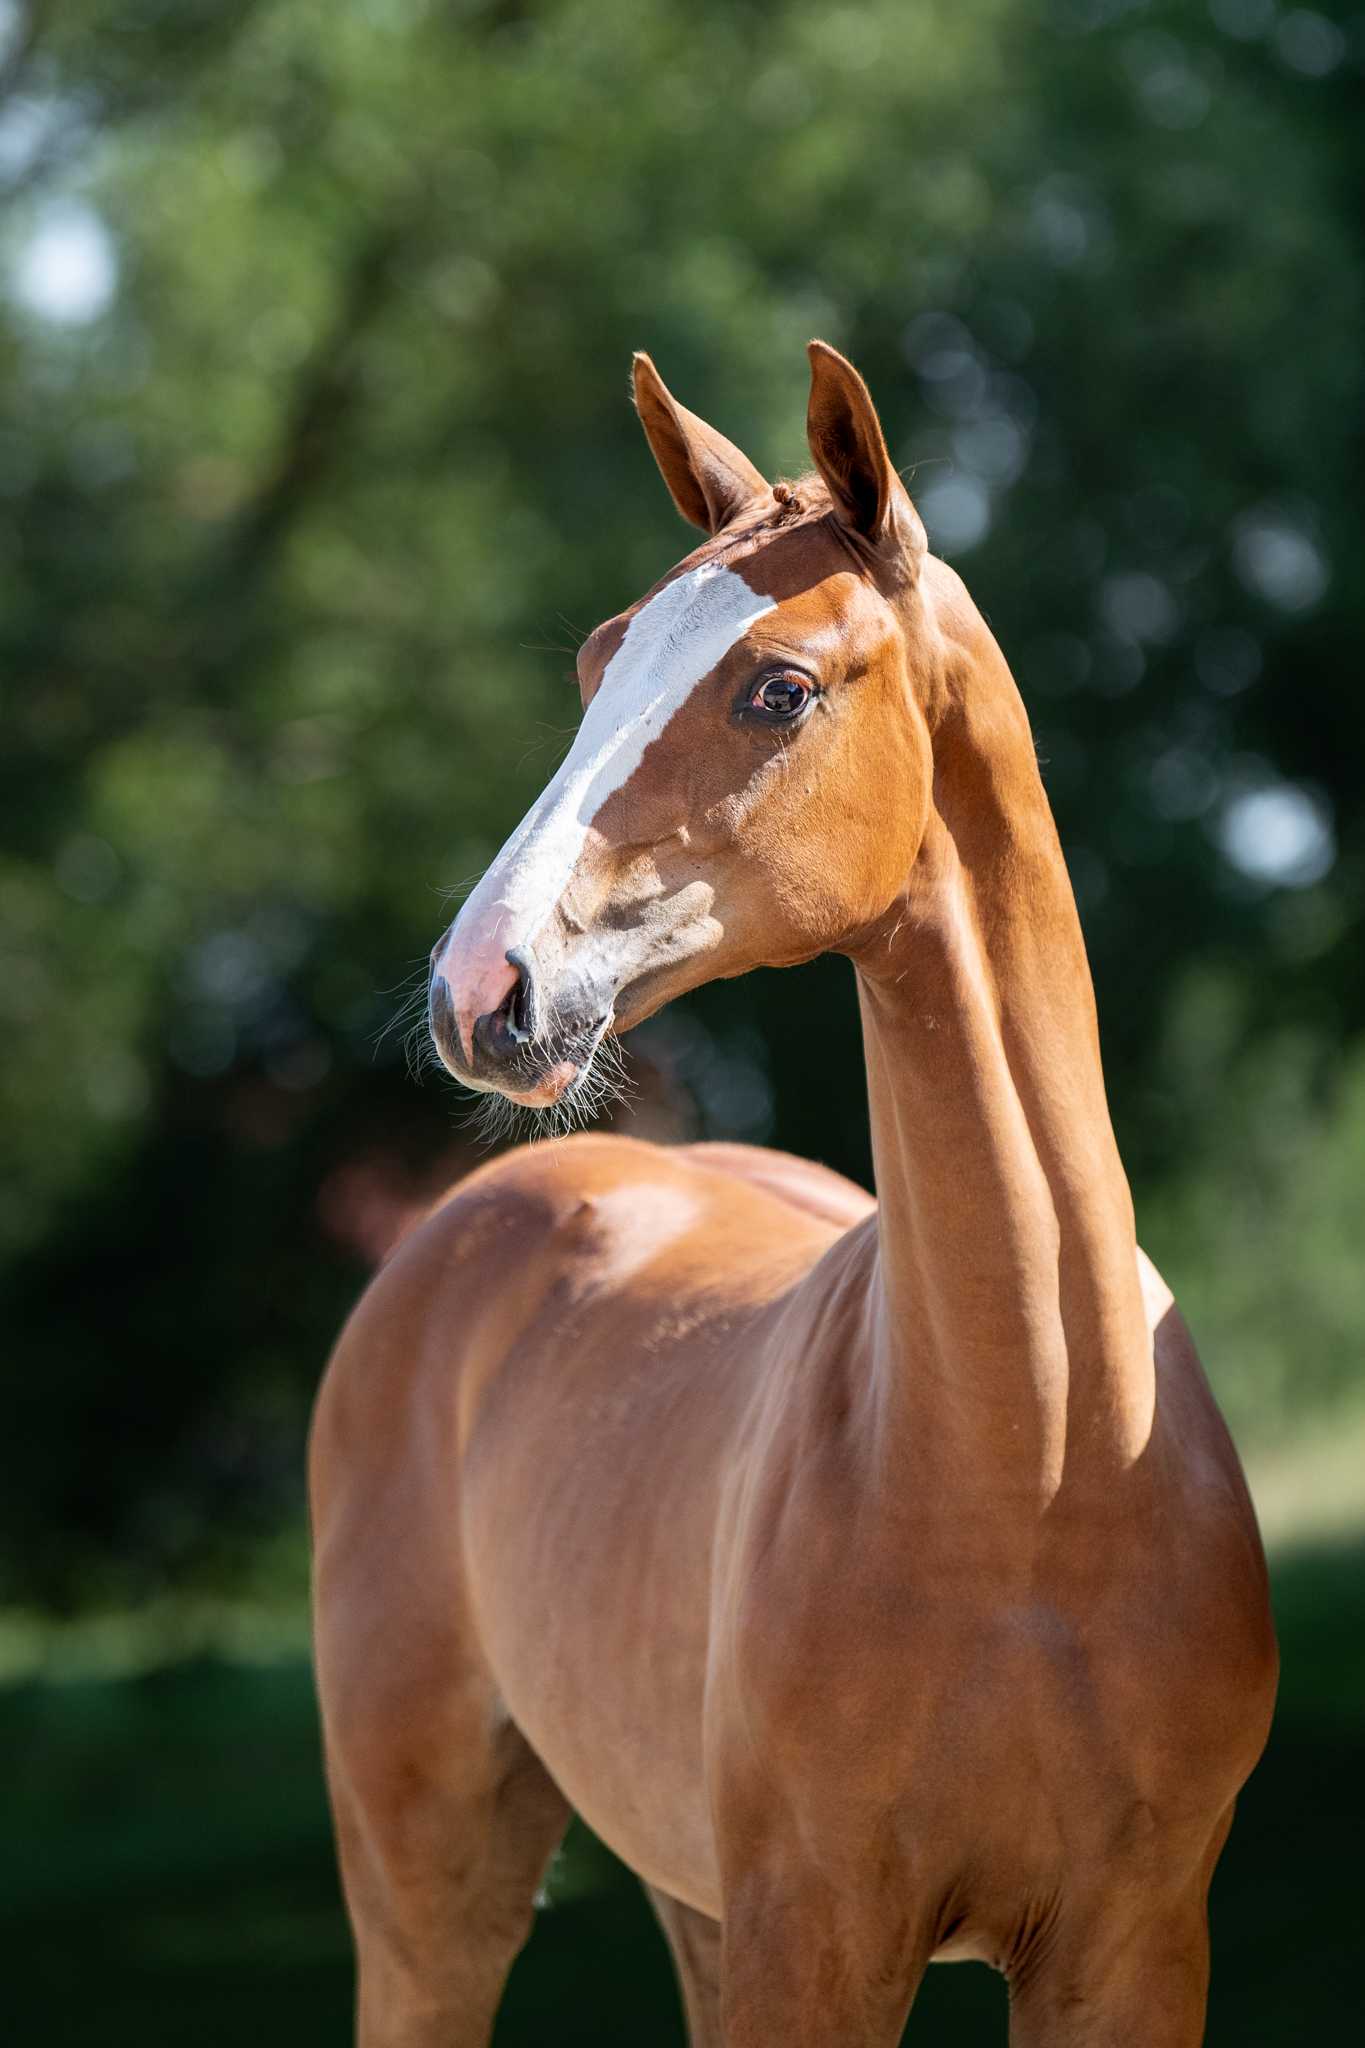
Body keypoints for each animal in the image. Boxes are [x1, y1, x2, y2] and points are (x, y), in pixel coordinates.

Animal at [309, 342, 1277, 2045]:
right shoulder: (812, 1942)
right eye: (598, 666)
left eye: (779, 686)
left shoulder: (1136, 1953)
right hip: (432, 1885)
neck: (1037, 1475)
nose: (480, 991)